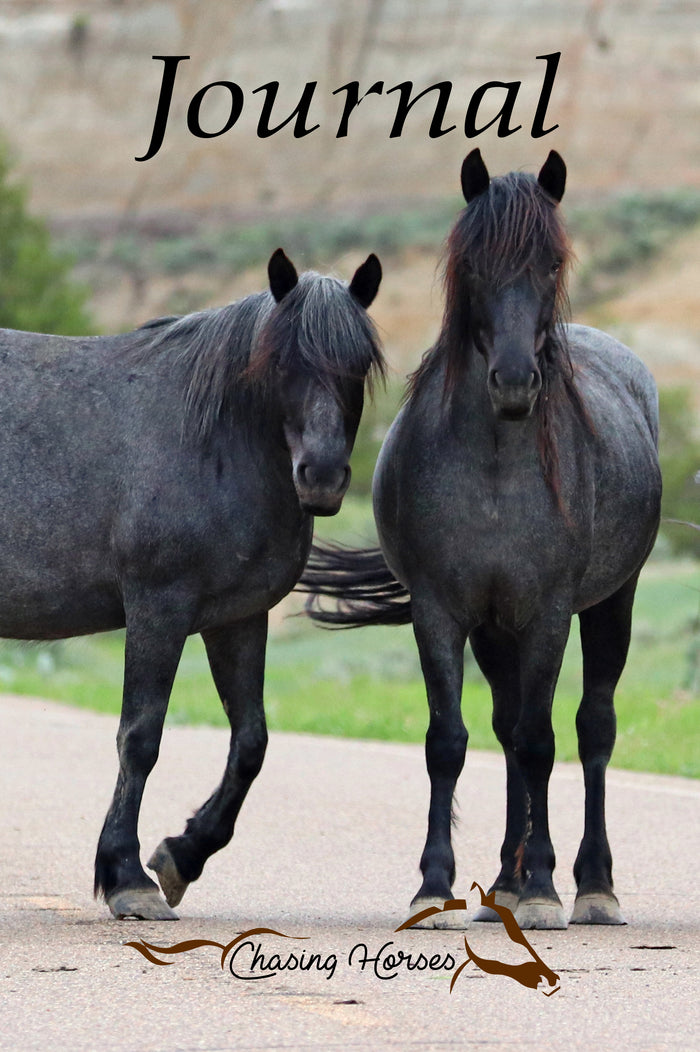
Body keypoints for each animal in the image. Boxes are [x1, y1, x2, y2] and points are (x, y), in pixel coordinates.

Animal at [0, 247, 383, 920]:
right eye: (281, 360)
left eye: (358, 363)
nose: (322, 475)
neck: (214, 438)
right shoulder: (159, 608)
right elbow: (141, 736)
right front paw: (127, 877)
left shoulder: (237, 619)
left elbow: (251, 741)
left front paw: (182, 854)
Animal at [301, 151, 661, 930]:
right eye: (474, 265)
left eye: (551, 261)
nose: (515, 382)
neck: (496, 468)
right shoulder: (444, 611)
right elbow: (452, 742)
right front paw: (436, 884)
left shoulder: (549, 613)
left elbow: (541, 741)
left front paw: (546, 888)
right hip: (498, 631)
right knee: (503, 729)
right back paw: (504, 882)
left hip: (611, 603)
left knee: (590, 728)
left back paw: (592, 885)